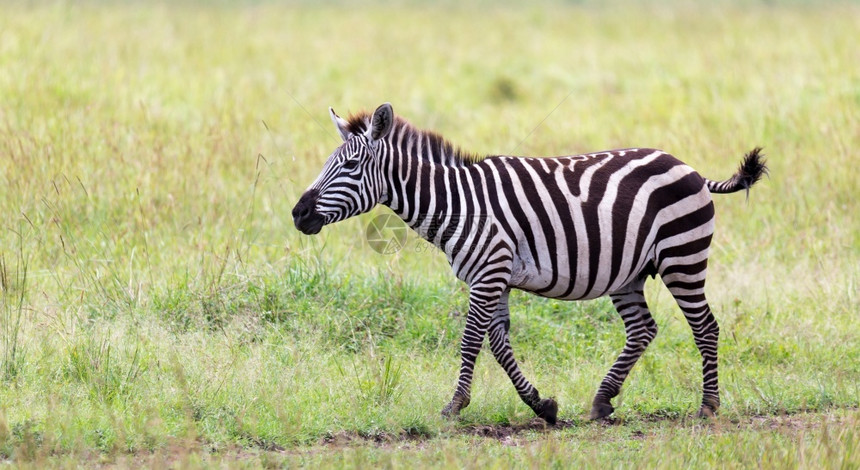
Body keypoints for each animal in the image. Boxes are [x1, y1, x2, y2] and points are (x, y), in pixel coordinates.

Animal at [292, 102, 768, 422]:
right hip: (629, 273)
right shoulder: (495, 278)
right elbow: (500, 344)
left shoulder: (488, 273)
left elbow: (471, 340)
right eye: (328, 163)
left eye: (352, 165)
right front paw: (543, 406)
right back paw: (602, 400)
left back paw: (708, 406)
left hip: (682, 258)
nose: (298, 213)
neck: (457, 203)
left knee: (705, 327)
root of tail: (688, 167)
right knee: (643, 330)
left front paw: (453, 406)